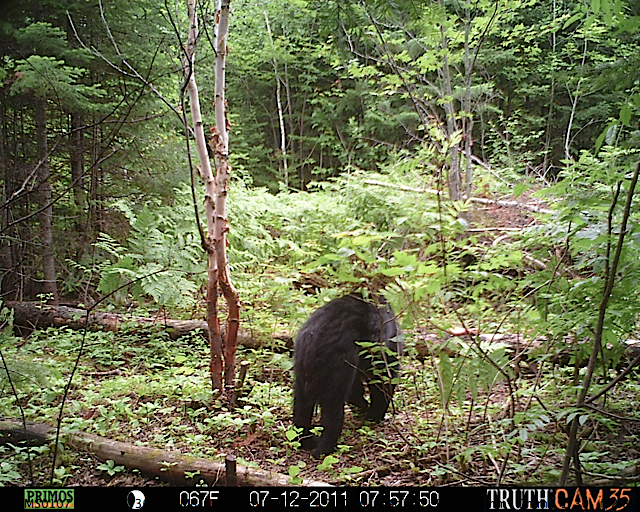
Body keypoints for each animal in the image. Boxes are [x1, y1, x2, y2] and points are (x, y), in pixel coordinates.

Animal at [294, 294, 402, 458]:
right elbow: (383, 383)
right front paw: (373, 415)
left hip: (303, 370)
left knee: (302, 406)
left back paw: (306, 440)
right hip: (336, 367)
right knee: (333, 410)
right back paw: (324, 449)